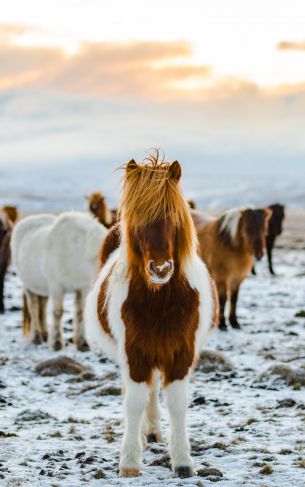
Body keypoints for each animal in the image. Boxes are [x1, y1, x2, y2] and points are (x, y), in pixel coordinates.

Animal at [11, 213, 107, 350]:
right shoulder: (56, 287)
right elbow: (58, 313)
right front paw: (56, 343)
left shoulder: (82, 287)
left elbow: (80, 313)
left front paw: (82, 343)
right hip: (28, 286)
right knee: (33, 308)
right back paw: (36, 338)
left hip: (43, 288)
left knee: (42, 307)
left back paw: (45, 335)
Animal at [84, 157, 215, 480]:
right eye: (138, 221)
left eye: (174, 217)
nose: (161, 269)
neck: (160, 301)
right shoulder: (134, 353)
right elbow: (134, 403)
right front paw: (130, 461)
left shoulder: (181, 353)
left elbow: (177, 404)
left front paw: (182, 461)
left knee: (154, 392)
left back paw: (153, 432)